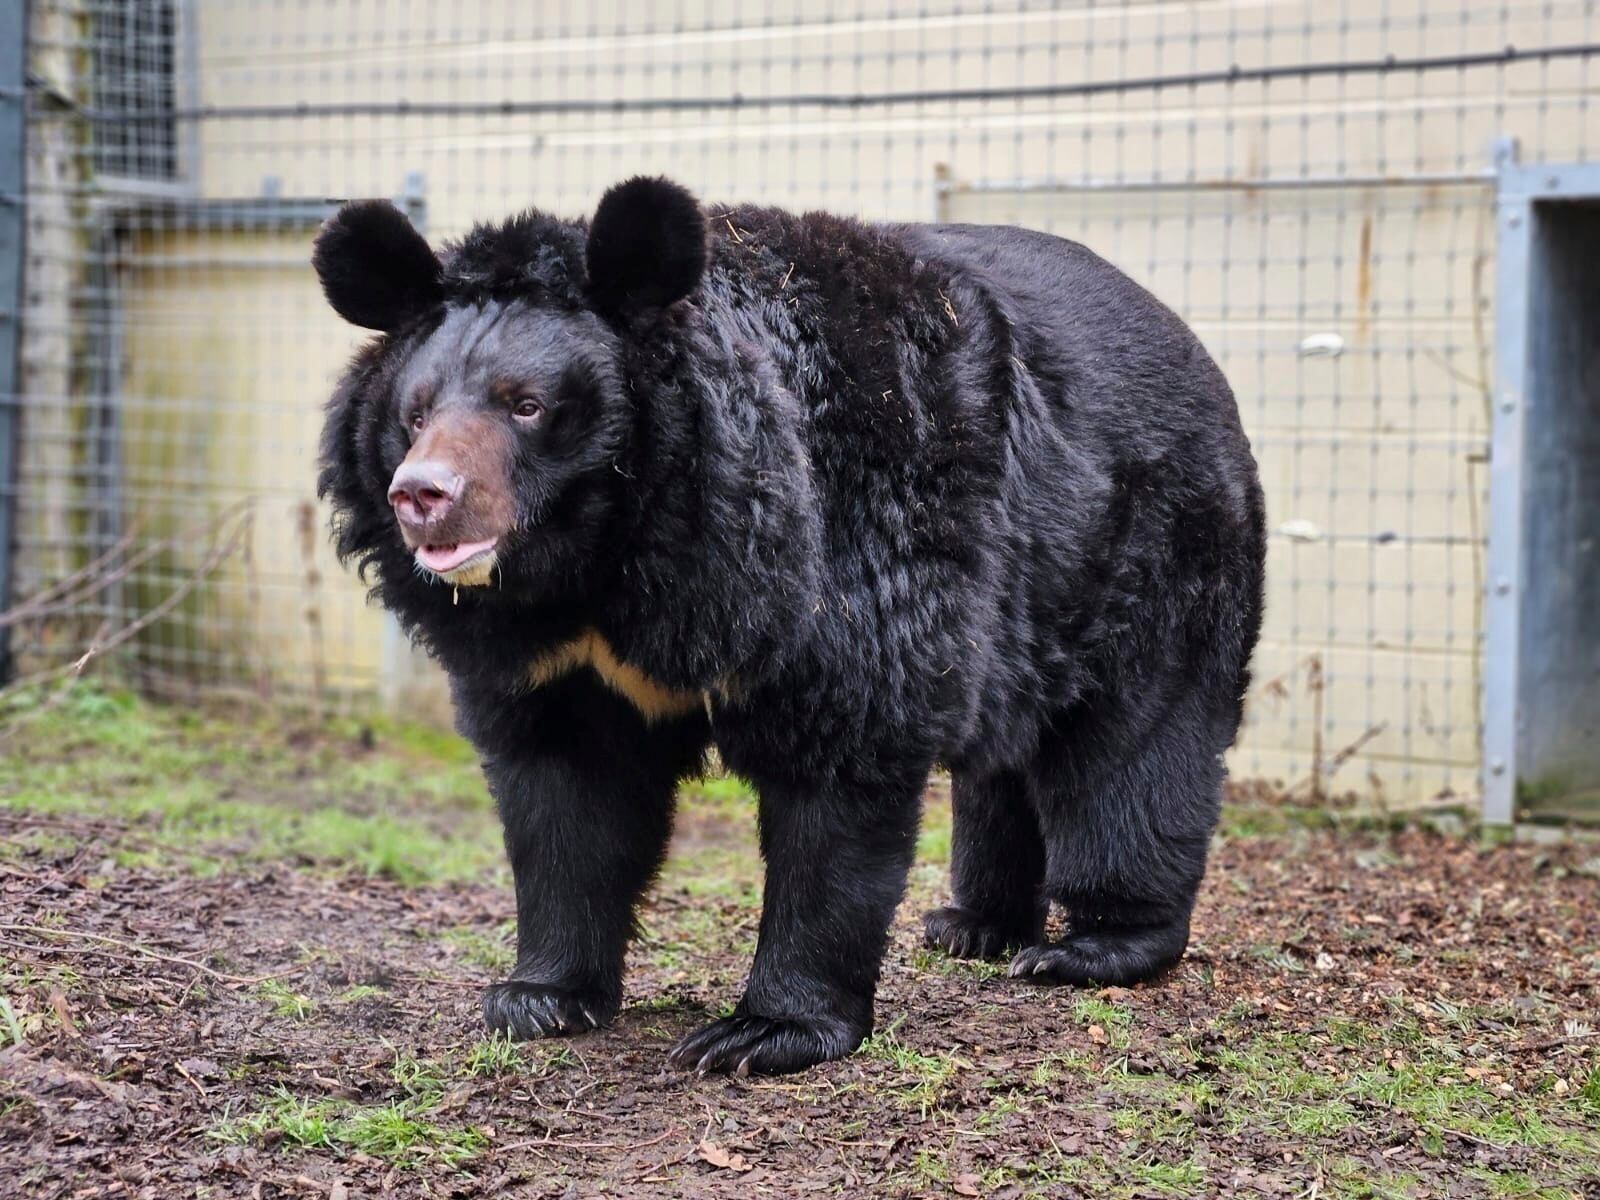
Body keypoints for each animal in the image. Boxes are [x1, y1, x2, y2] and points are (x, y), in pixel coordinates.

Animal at [312, 177, 1266, 1076]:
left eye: (527, 406)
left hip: (1153, 551)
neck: (608, 565)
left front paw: (762, 1032)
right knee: (1005, 756)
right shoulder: (555, 662)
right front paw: (537, 997)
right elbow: (566, 797)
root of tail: (1193, 344)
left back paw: (1095, 946)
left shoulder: (847, 553)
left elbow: (840, 774)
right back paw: (972, 924)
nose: (421, 495)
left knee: (1132, 749)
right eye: (415, 411)